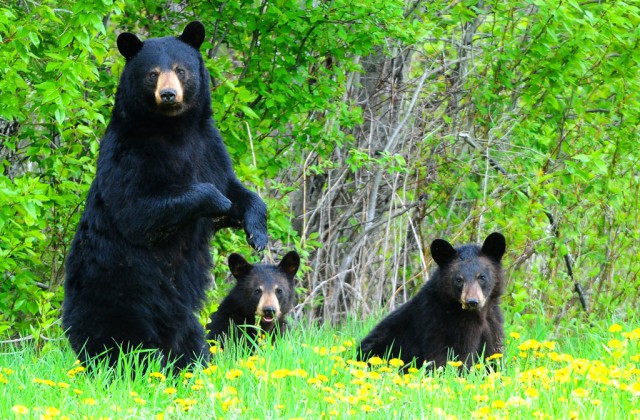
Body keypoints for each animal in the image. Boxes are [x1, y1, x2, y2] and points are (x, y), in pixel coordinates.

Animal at [62, 22, 268, 370]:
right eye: (153, 73)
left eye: (180, 69)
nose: (168, 94)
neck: (175, 129)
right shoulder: (129, 154)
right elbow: (138, 210)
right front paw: (218, 201)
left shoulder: (210, 147)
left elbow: (235, 188)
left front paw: (257, 233)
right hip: (120, 295)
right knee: (118, 343)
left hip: (181, 316)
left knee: (189, 339)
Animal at [358, 233, 508, 370]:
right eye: (459, 280)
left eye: (482, 277)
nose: (472, 301)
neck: (477, 314)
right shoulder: (442, 324)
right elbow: (450, 357)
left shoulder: (492, 323)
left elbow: (492, 355)